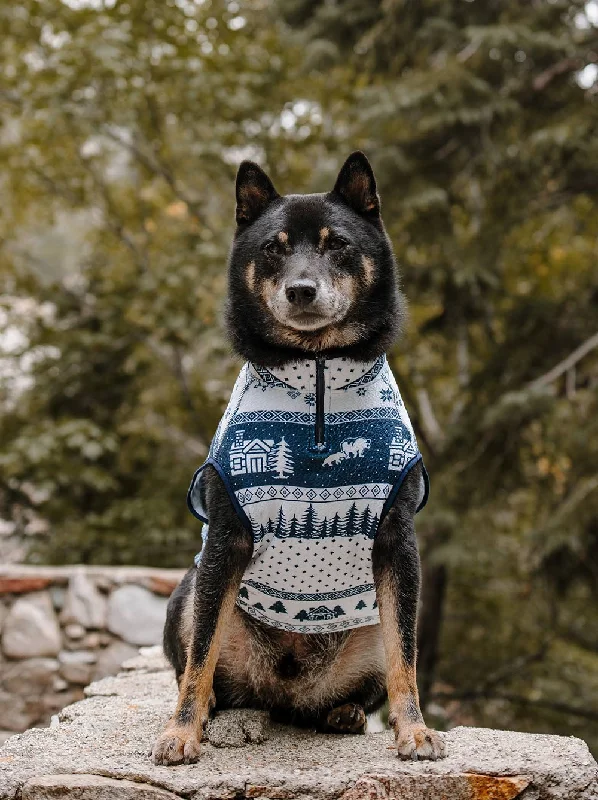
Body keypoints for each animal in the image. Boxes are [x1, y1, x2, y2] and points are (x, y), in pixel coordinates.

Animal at [152, 152, 448, 768]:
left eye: (338, 244)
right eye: (274, 247)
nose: (302, 290)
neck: (315, 371)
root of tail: (284, 695)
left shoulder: (398, 538)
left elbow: (406, 653)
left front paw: (413, 730)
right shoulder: (226, 536)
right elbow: (197, 660)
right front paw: (181, 732)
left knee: (356, 683)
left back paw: (344, 713)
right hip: (187, 591)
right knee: (203, 663)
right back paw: (212, 709)